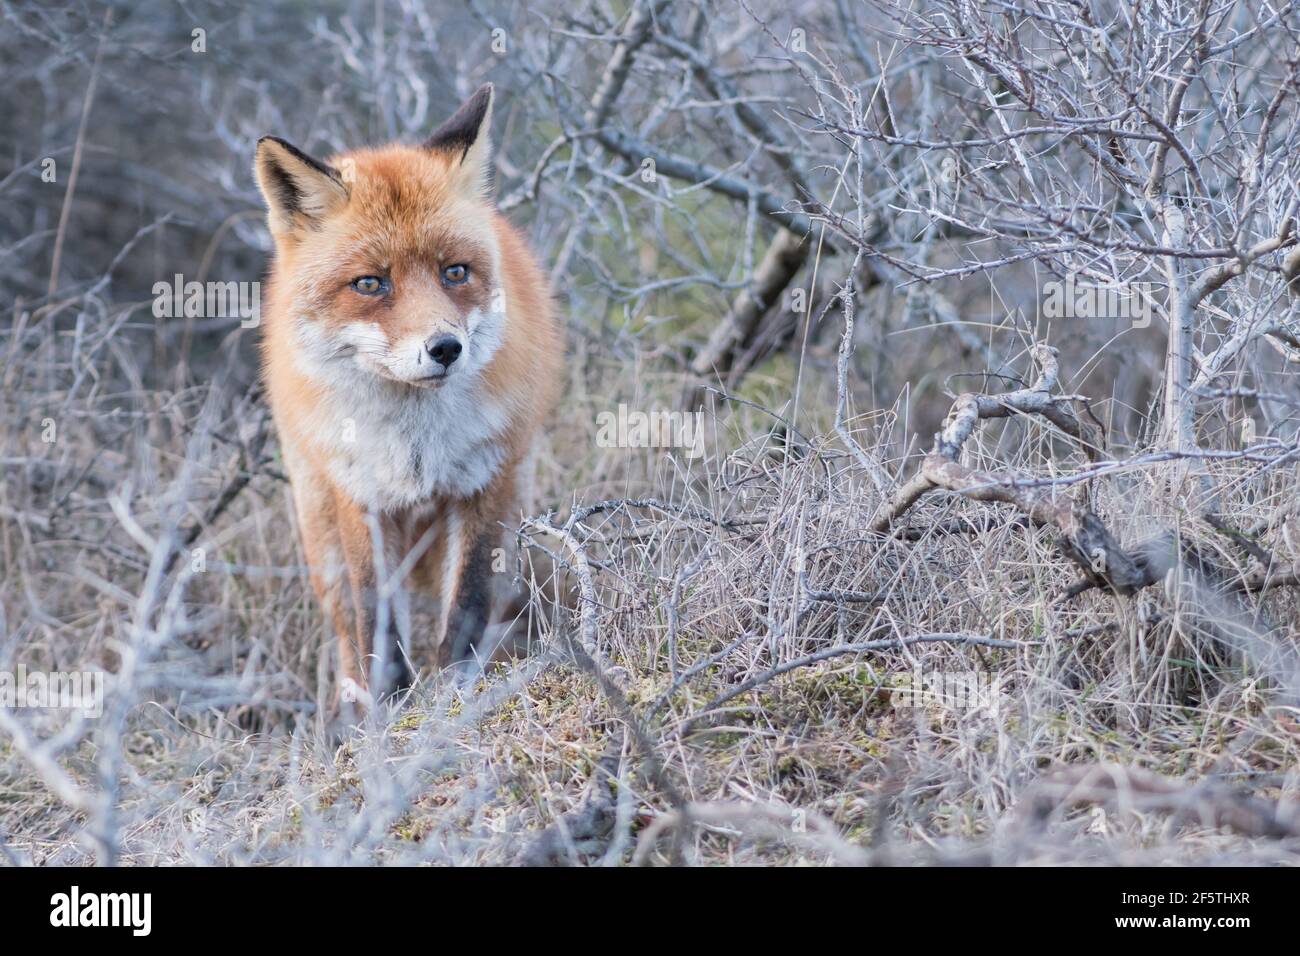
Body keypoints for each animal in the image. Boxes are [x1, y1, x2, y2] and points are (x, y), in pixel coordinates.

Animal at [252, 85, 559, 712]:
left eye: (455, 272)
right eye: (371, 283)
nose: (445, 348)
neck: (414, 443)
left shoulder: (482, 484)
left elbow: (464, 612)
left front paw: (453, 702)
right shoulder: (361, 495)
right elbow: (378, 626)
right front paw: (391, 712)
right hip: (320, 536)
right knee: (346, 635)